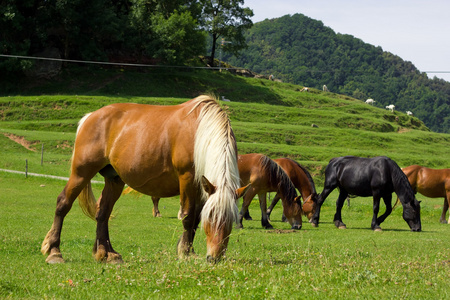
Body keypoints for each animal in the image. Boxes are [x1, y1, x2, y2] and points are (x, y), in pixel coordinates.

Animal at [41, 95, 246, 262]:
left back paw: (106, 253)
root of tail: (90, 116)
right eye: (210, 218)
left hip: (114, 180)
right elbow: (188, 217)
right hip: (81, 173)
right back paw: (54, 251)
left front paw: (189, 250)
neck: (201, 131)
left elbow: (194, 219)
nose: (215, 257)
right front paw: (185, 252)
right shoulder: (187, 179)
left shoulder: (203, 187)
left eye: (231, 220)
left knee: (103, 213)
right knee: (63, 203)